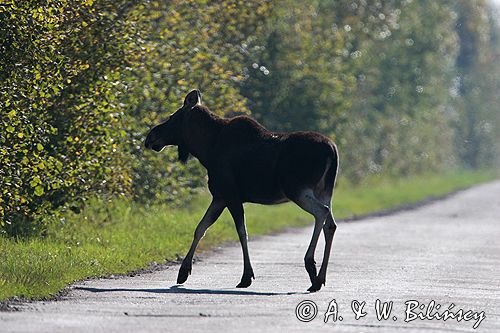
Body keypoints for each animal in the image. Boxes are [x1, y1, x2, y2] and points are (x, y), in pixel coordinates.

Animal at [145, 89, 340, 290]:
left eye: (172, 117)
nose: (150, 136)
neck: (206, 149)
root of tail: (332, 150)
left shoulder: (231, 195)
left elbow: (241, 232)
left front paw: (246, 276)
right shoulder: (220, 197)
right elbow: (201, 227)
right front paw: (183, 271)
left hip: (297, 190)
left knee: (322, 213)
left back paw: (311, 267)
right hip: (324, 191)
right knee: (331, 224)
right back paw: (320, 278)